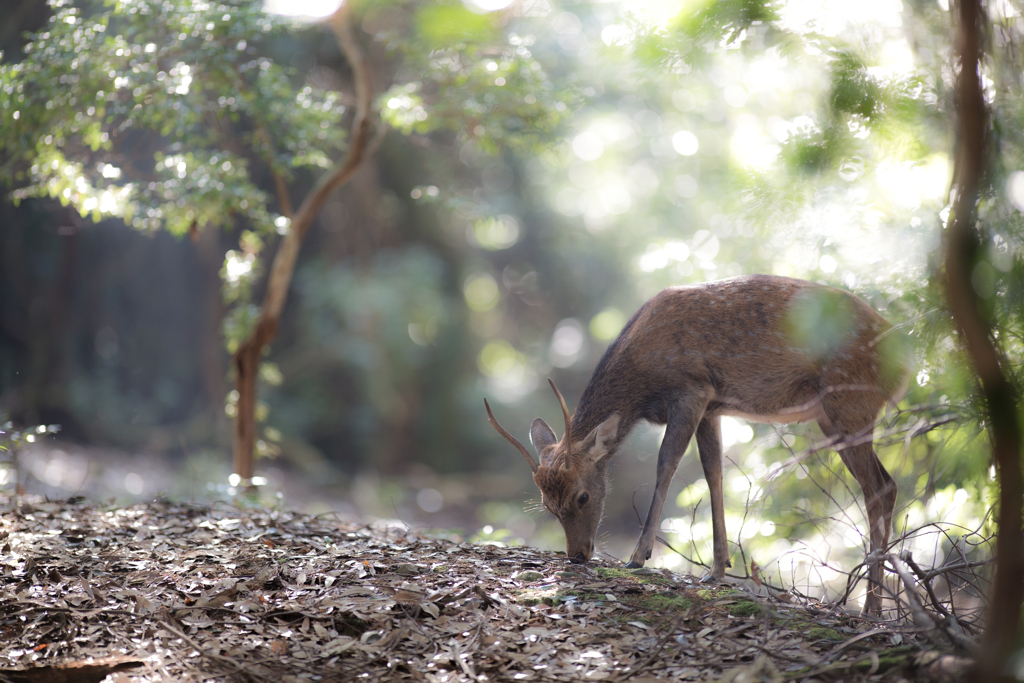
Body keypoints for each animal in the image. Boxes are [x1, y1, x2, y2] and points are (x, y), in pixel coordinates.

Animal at [483, 272, 909, 614]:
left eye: (583, 496)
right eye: (547, 505)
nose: (577, 555)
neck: (642, 386)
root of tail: (907, 365)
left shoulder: (690, 389)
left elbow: (666, 464)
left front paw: (638, 556)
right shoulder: (712, 406)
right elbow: (713, 472)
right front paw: (718, 569)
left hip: (848, 403)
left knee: (879, 488)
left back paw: (871, 608)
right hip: (834, 416)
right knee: (887, 484)